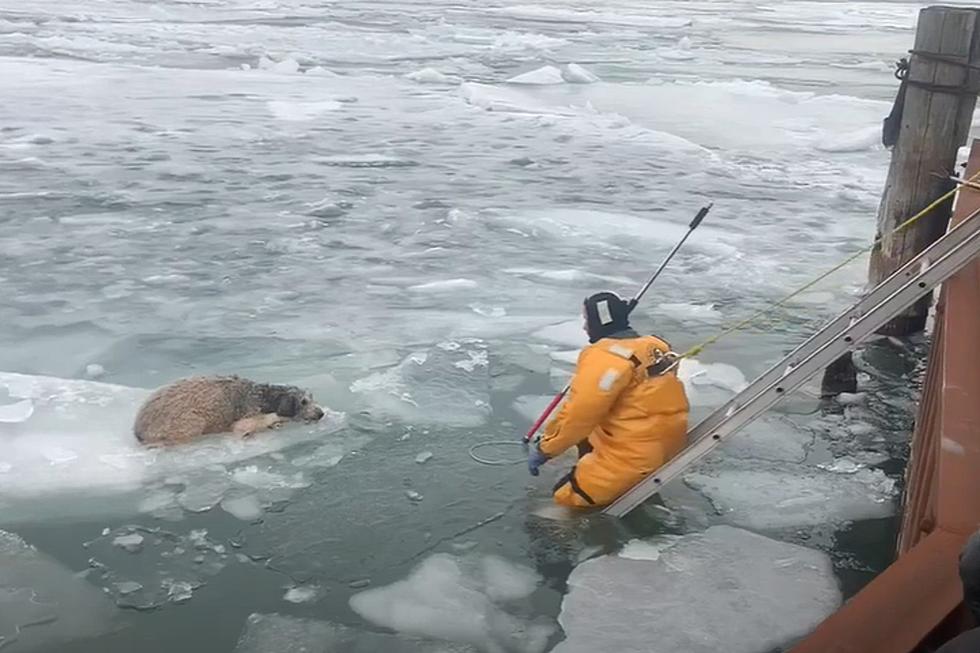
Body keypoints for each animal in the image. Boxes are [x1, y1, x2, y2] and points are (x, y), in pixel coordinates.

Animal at [133, 374, 326, 446]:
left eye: (312, 397)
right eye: (303, 401)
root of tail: (138, 429)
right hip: (189, 423)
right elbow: (244, 427)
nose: (321, 413)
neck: (267, 398)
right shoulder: (248, 418)